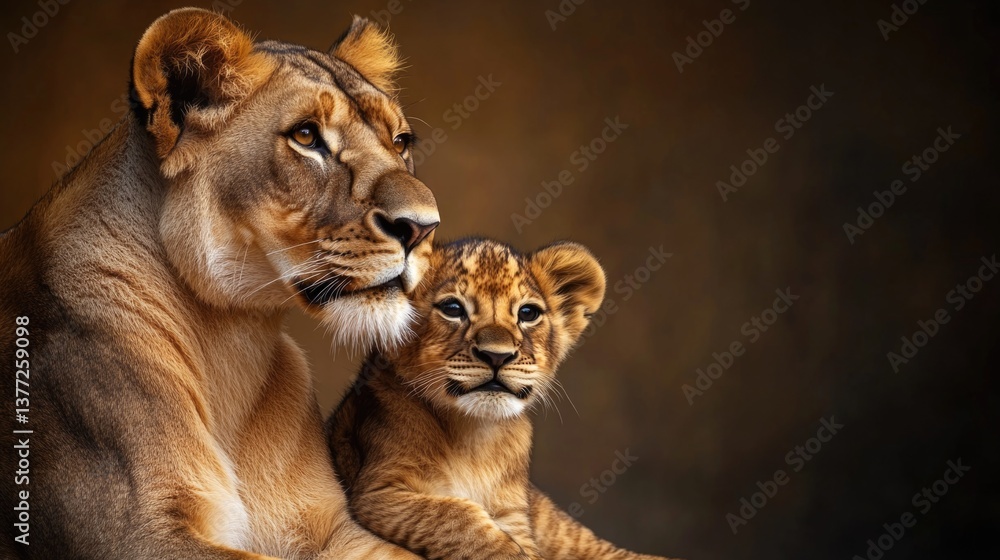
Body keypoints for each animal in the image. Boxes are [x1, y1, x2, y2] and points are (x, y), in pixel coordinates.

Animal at [1, 8, 438, 559]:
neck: (233, 338)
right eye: (307, 136)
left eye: (400, 142)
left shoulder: (325, 526)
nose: (423, 227)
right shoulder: (136, 534)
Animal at [328, 238, 674, 560]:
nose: (497, 356)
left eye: (528, 313)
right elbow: (457, 516)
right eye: (452, 309)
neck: (475, 436)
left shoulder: (515, 511)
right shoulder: (377, 492)